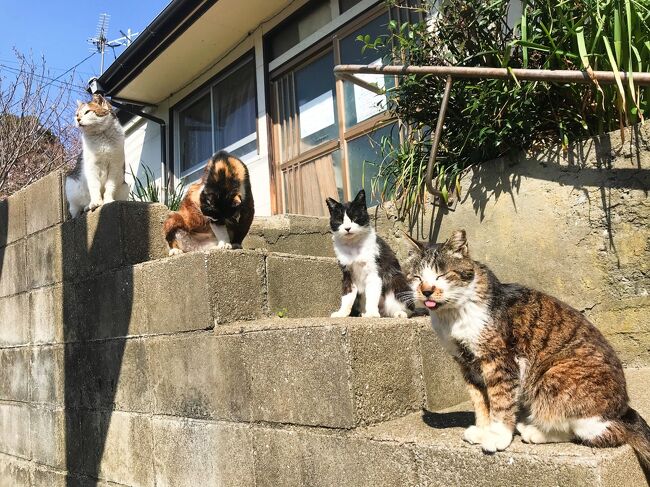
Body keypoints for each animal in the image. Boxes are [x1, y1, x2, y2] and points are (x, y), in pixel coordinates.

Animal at [324, 191, 410, 320]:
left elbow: (372, 295)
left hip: (397, 281)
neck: (353, 246)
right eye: (339, 220)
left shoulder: (374, 272)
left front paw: (372, 313)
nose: (347, 228)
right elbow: (347, 295)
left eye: (355, 218)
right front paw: (341, 313)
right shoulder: (347, 274)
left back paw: (399, 313)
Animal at [404, 231, 648, 468]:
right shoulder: (467, 364)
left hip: (554, 375)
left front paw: (497, 436)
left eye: (442, 275)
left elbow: (500, 400)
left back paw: (535, 432)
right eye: (417, 277)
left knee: (600, 432)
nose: (426, 291)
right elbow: (480, 401)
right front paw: (483, 430)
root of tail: (623, 410)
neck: (452, 317)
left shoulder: (499, 360)